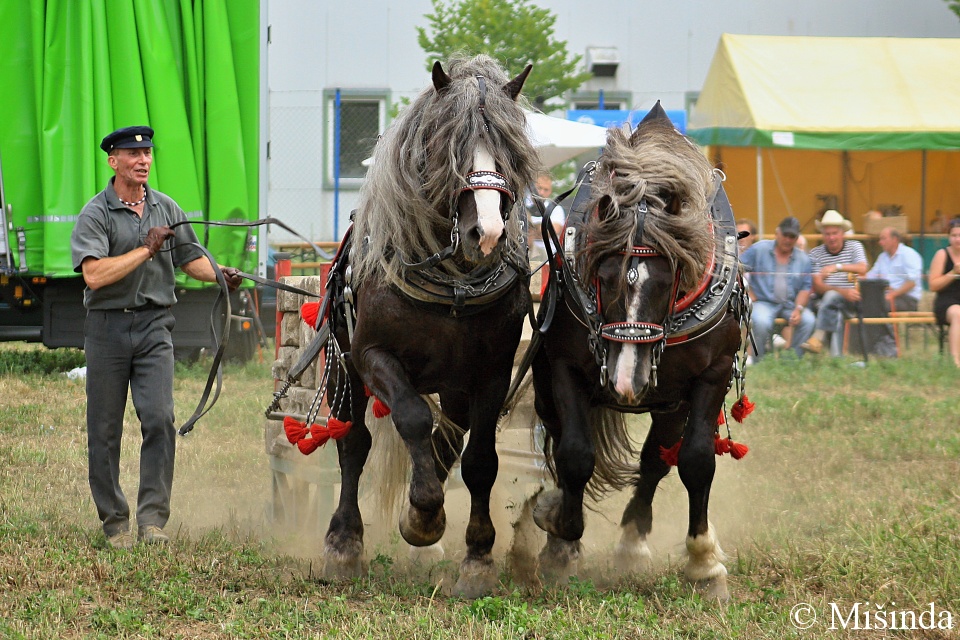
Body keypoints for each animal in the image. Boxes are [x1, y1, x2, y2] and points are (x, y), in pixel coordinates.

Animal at [532, 104, 752, 600]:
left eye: (669, 279)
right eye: (605, 276)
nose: (625, 382)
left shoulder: (711, 374)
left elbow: (696, 461)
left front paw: (704, 562)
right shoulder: (563, 368)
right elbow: (575, 454)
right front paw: (560, 540)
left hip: (672, 402)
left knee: (655, 460)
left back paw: (633, 542)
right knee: (560, 442)